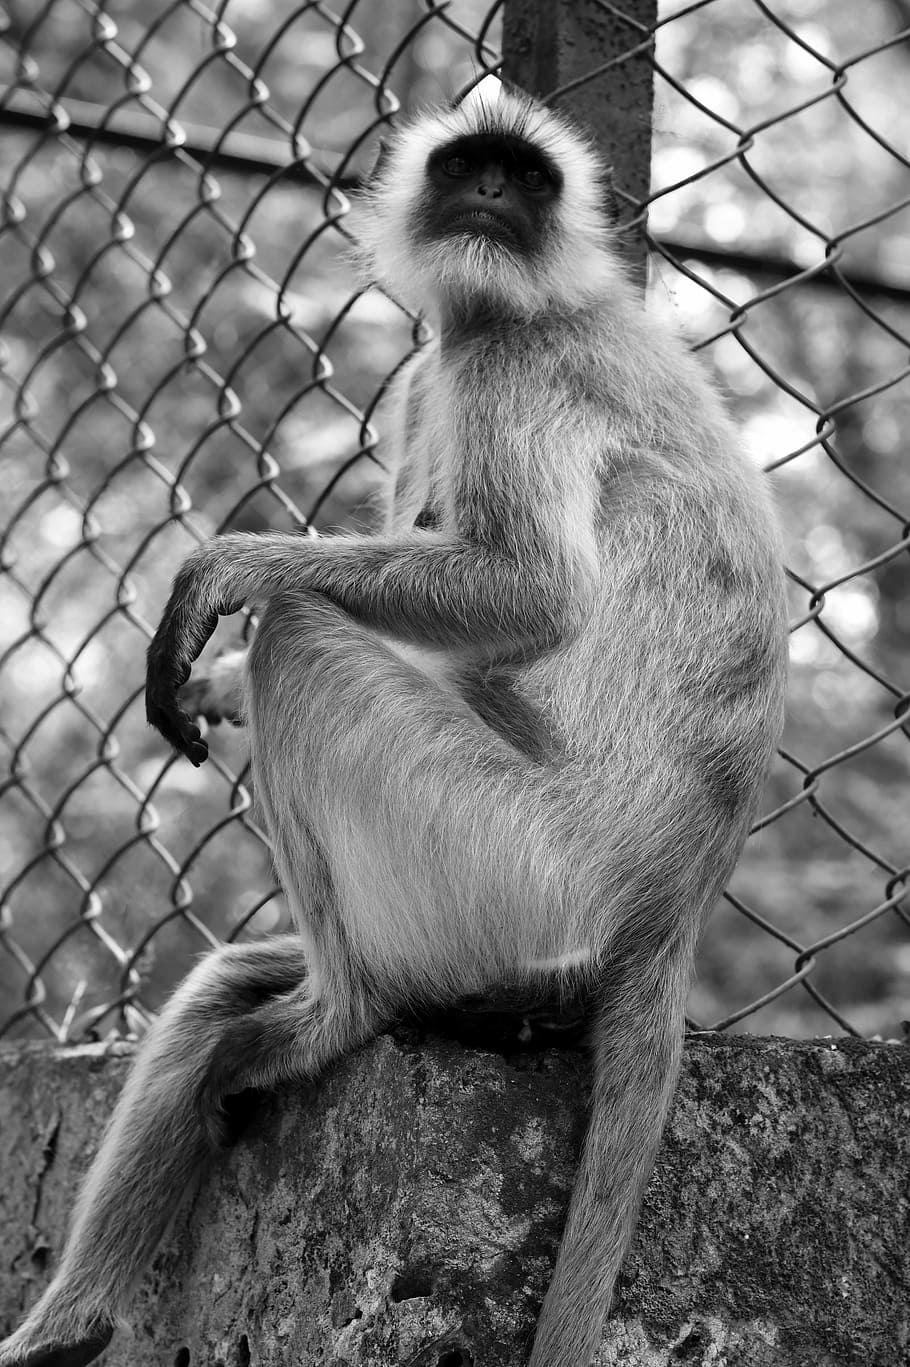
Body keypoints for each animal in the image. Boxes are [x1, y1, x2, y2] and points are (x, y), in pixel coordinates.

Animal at [0, 78, 788, 1367]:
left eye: (524, 181)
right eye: (470, 167)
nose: (489, 193)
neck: (536, 296)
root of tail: (670, 905)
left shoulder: (516, 360)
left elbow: (532, 595)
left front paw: (227, 573)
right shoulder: (442, 367)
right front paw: (212, 680)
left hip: (509, 867)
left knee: (303, 635)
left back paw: (338, 1013)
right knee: (219, 989)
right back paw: (68, 1326)